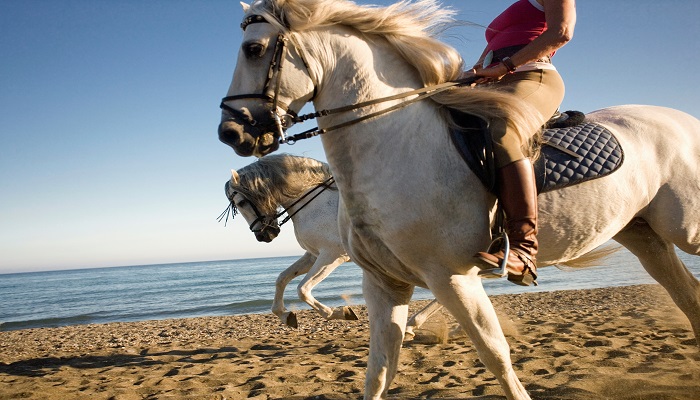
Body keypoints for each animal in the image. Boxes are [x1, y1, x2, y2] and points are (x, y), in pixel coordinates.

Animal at [219, 1, 700, 398]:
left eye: (254, 48)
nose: (230, 132)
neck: (394, 145)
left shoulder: (443, 274)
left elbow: (495, 356)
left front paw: (335, 315)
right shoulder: (384, 282)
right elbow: (375, 369)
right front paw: (300, 318)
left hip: (685, 229)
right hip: (645, 236)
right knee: (688, 298)